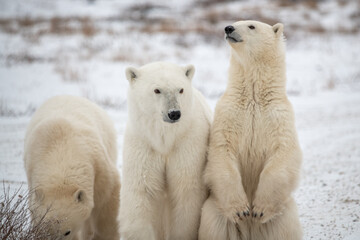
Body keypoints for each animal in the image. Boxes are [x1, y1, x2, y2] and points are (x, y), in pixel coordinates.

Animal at [119, 62, 212, 240]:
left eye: (181, 89)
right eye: (157, 90)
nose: (174, 113)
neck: (165, 140)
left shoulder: (187, 143)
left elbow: (185, 191)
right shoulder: (144, 144)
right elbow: (143, 191)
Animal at [198, 20, 302, 240]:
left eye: (251, 26)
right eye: (234, 22)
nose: (228, 28)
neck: (254, 98)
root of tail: (250, 232)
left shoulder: (279, 116)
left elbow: (283, 153)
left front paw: (259, 210)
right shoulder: (228, 113)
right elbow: (222, 150)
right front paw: (242, 210)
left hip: (284, 213)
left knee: (285, 229)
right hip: (214, 209)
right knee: (214, 226)